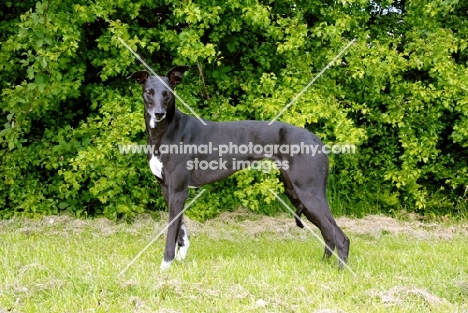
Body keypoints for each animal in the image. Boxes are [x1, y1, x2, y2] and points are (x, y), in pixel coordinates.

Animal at [128, 65, 352, 268]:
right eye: (149, 92)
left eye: (167, 93)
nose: (158, 114)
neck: (166, 132)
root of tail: (315, 139)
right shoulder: (168, 190)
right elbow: (180, 229)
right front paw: (180, 256)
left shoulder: (179, 191)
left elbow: (171, 231)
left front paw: (166, 264)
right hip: (296, 192)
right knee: (328, 234)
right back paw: (323, 266)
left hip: (309, 192)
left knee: (340, 237)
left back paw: (340, 271)